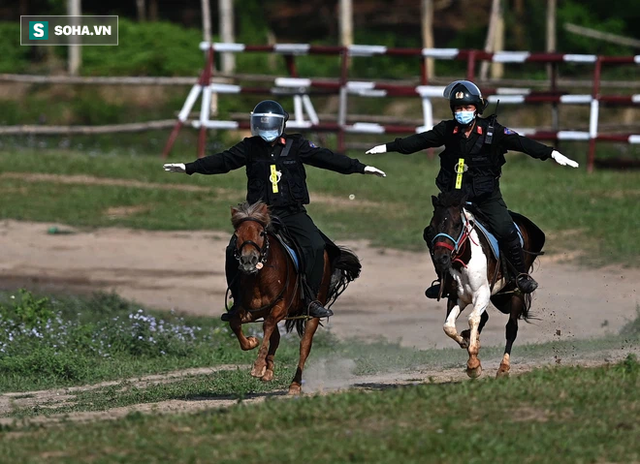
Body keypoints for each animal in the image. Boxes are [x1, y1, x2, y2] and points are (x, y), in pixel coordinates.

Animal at [229, 201, 360, 394]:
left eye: (261, 233)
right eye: (237, 234)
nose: (248, 261)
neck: (259, 277)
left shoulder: (281, 308)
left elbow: (268, 327)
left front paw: (258, 367)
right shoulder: (252, 309)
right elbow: (235, 322)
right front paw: (252, 343)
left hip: (313, 312)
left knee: (304, 346)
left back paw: (295, 384)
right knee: (275, 337)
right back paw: (269, 372)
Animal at [428, 191, 544, 376]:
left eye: (456, 225)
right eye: (431, 227)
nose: (441, 258)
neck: (463, 261)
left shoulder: (482, 294)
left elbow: (473, 318)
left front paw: (473, 364)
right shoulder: (456, 296)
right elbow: (448, 326)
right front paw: (466, 342)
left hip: (516, 291)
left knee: (511, 328)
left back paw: (503, 367)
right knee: (486, 318)